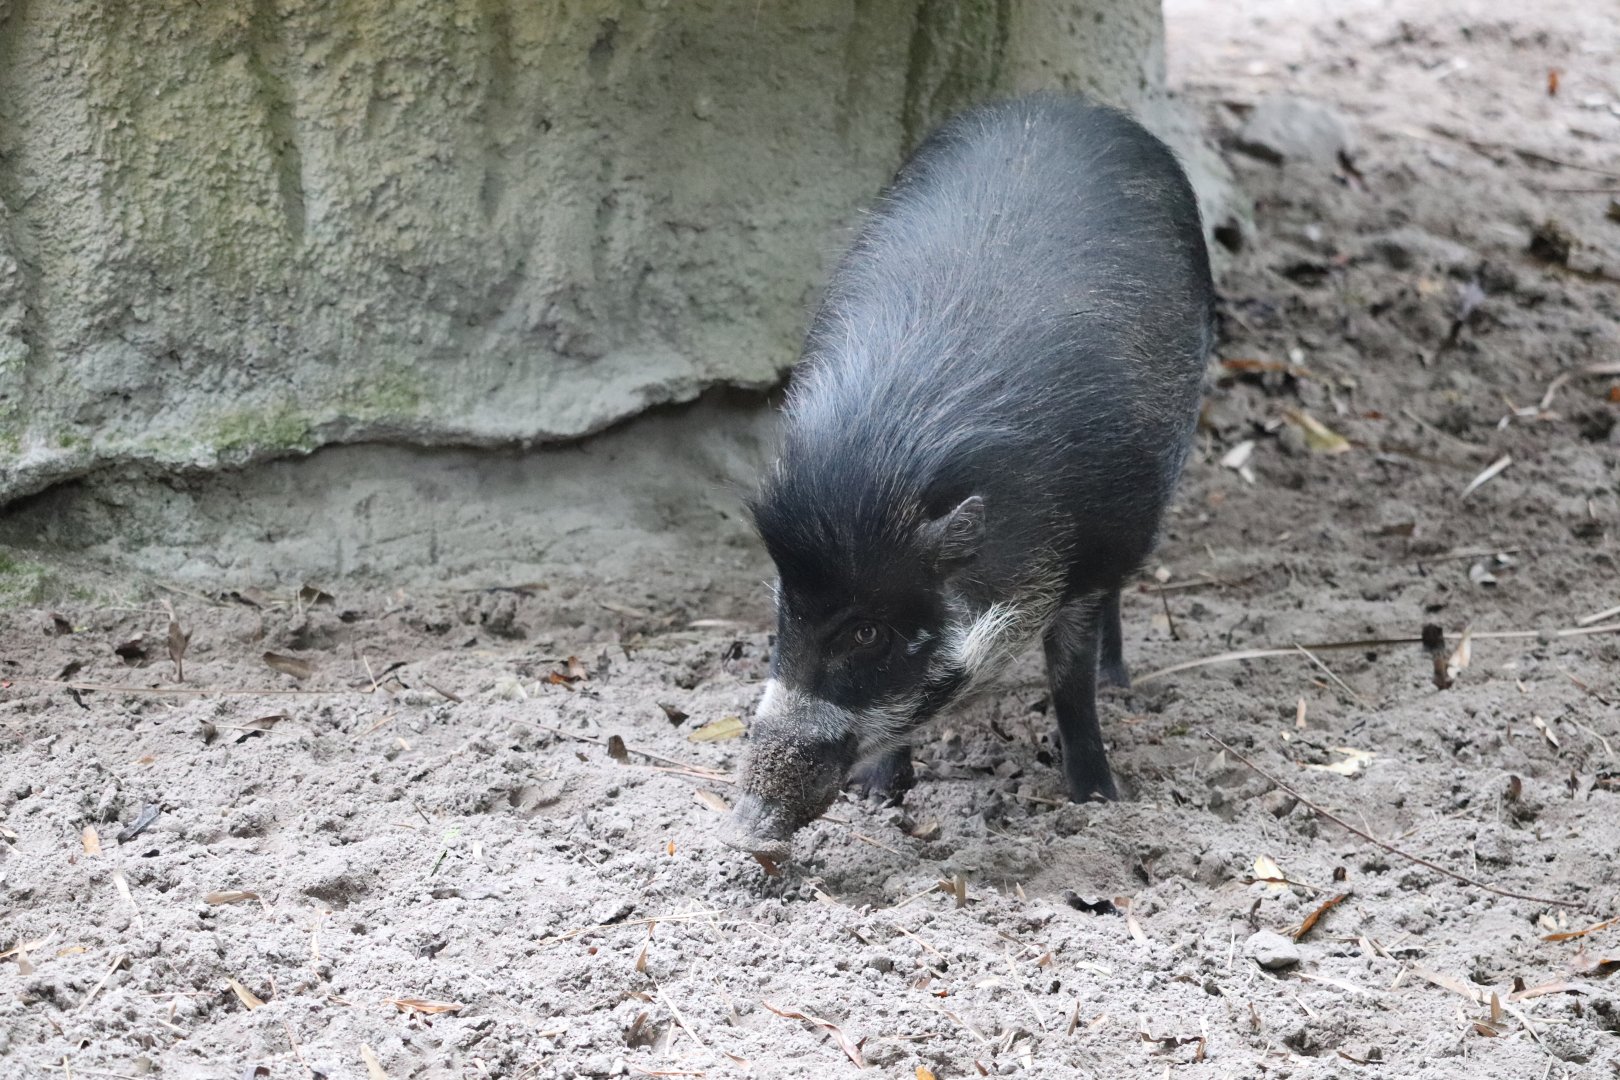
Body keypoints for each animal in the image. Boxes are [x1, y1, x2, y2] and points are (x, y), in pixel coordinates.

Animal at [721, 93, 1215, 859]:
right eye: (785, 606)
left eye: (868, 633)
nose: (745, 833)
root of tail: (1064, 104)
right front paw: (879, 797)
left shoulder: (1094, 549)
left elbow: (1068, 681)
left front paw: (1097, 801)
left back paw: (1120, 683)